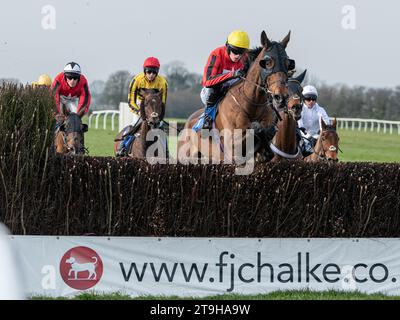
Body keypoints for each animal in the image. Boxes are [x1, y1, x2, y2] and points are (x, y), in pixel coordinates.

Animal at [180, 30, 292, 162]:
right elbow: (252, 131)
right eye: (268, 62)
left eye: (287, 63)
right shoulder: (233, 145)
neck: (252, 103)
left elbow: (266, 141)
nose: (281, 97)